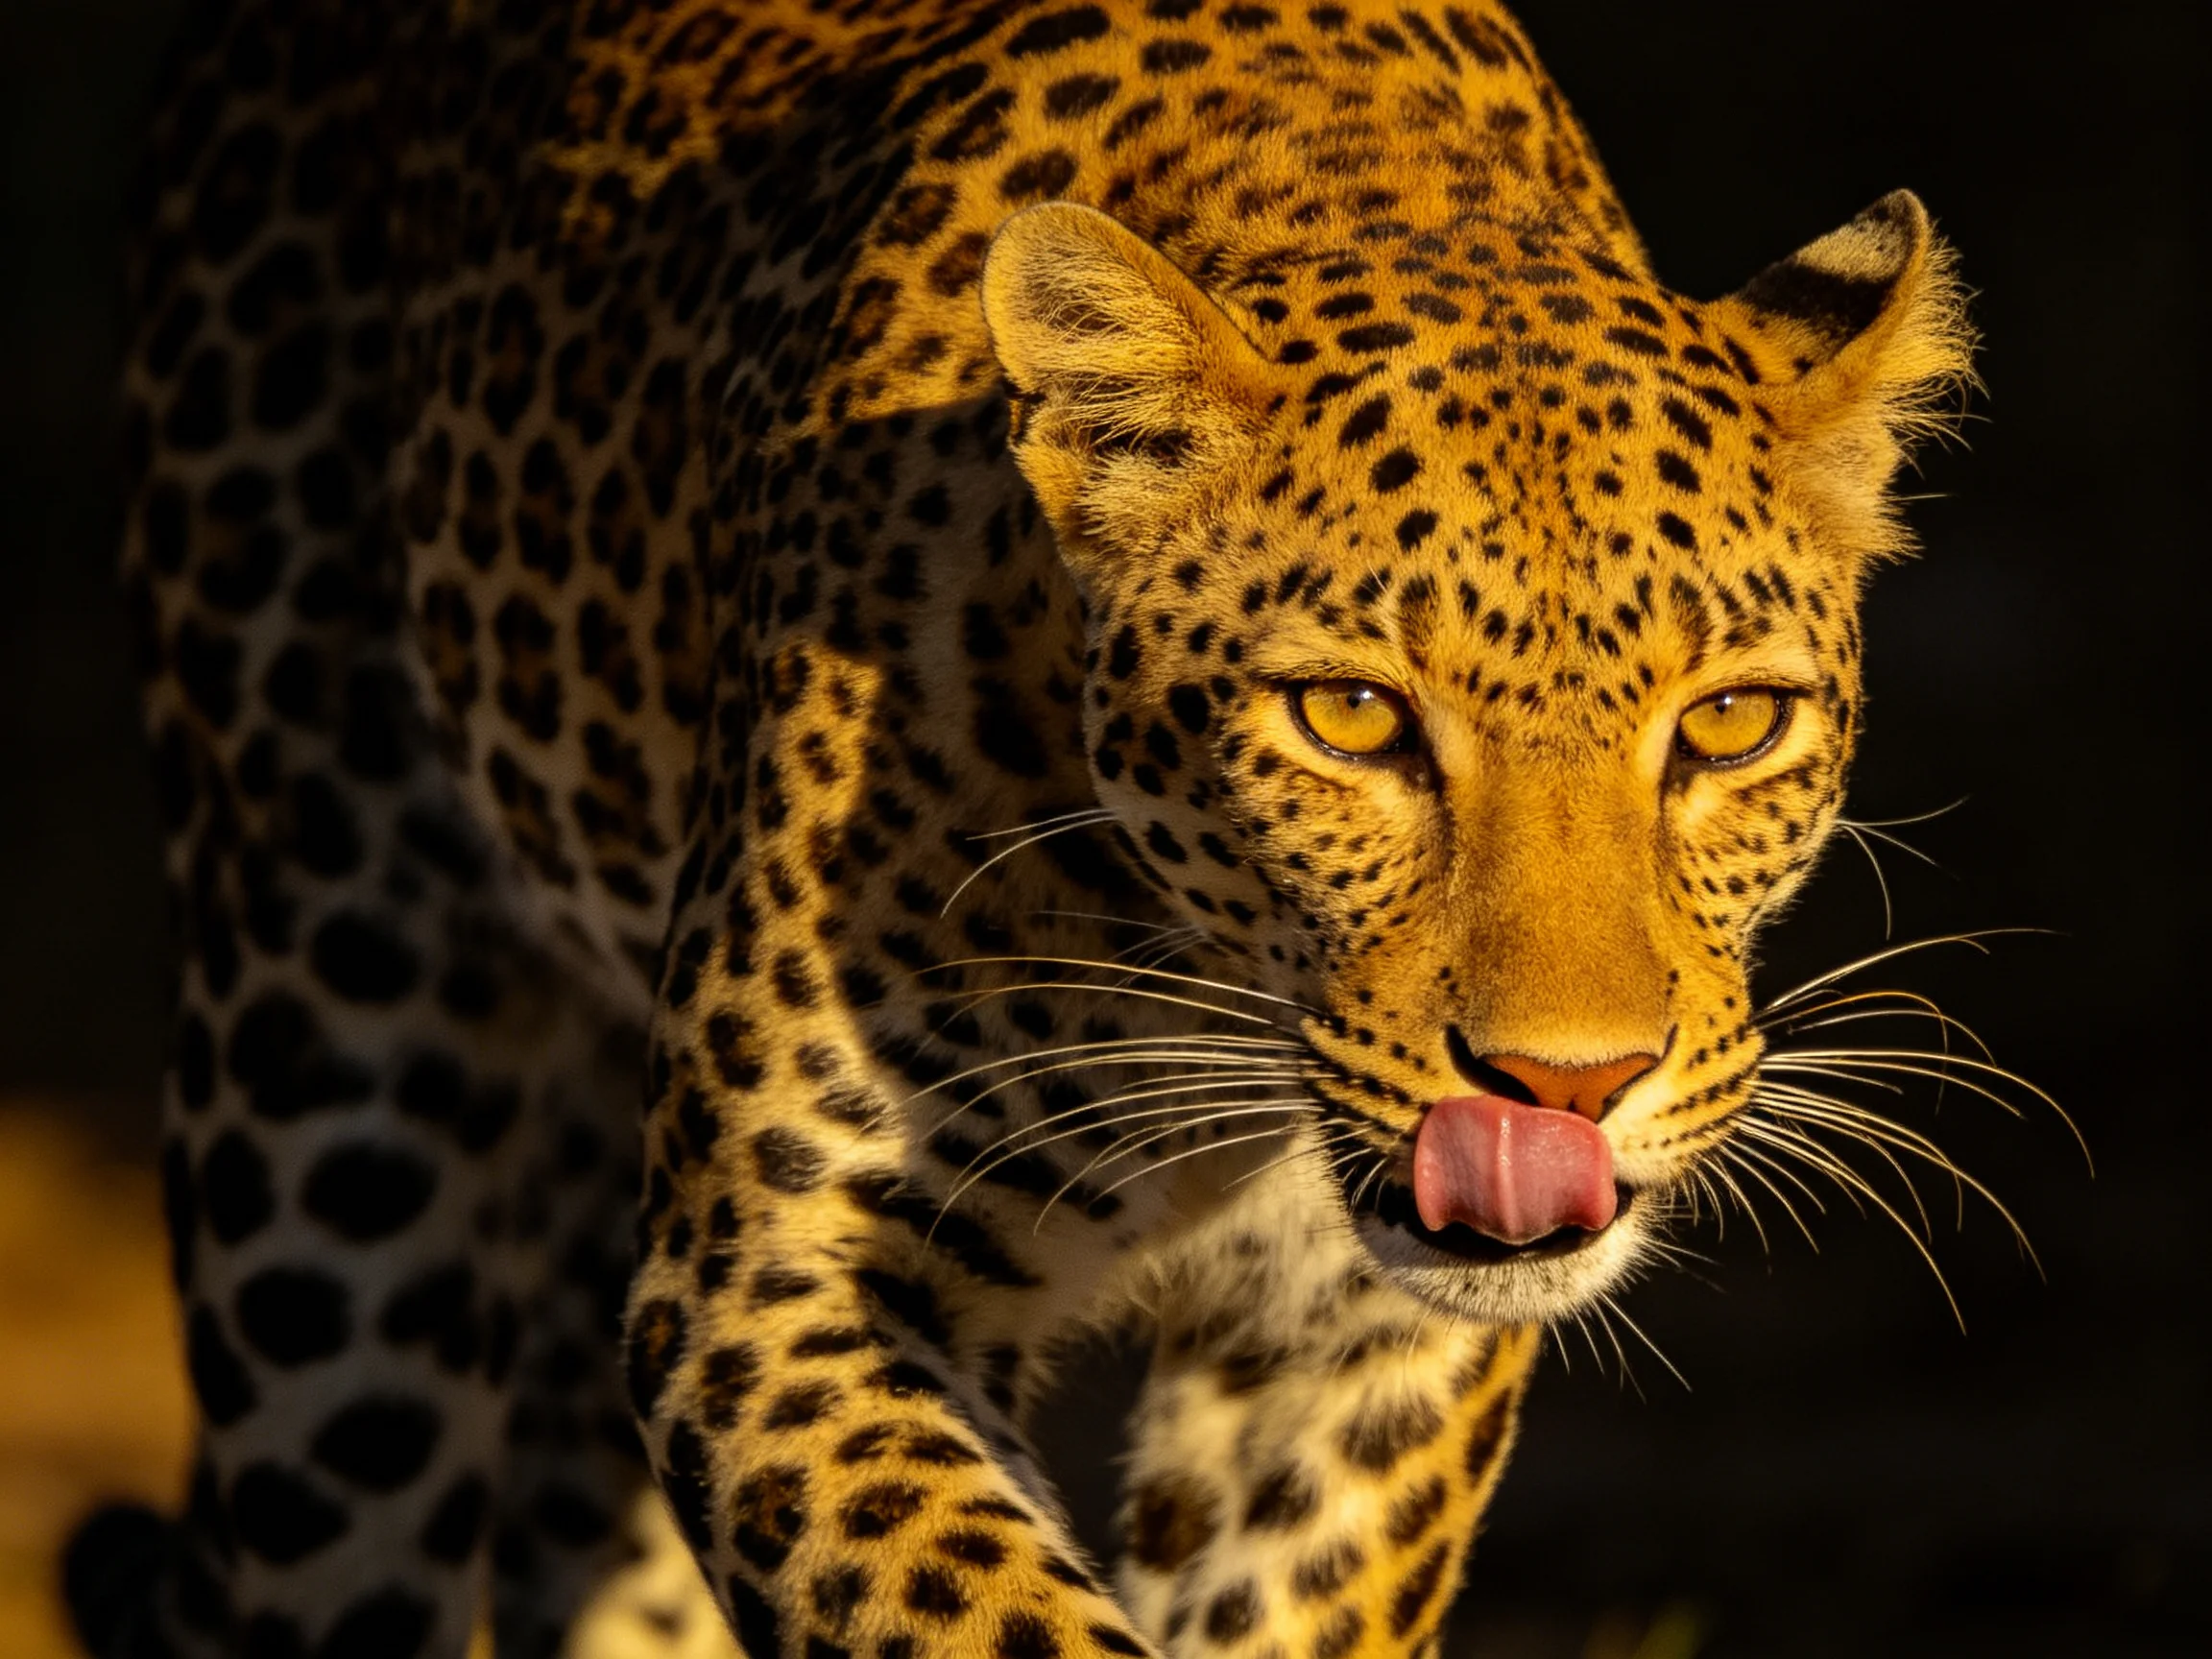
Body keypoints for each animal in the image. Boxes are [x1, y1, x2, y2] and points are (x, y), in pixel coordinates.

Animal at [80, 1, 1974, 1657]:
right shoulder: (780, 1283)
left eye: (1727, 724)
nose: (1564, 1090)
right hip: (323, 1069)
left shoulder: (1351, 1359)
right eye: (1351, 717)